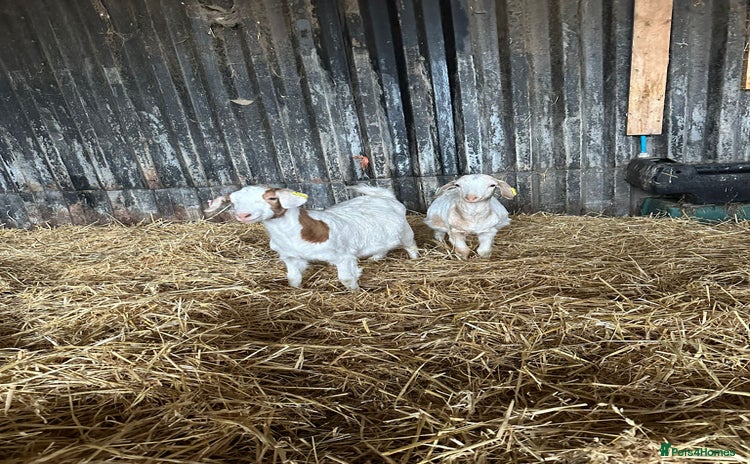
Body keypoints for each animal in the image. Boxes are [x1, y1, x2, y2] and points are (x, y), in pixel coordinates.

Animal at [205, 185, 419, 290]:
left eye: (272, 198)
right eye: (232, 201)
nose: (243, 215)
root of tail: (385, 197)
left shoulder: (342, 256)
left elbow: (346, 278)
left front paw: (355, 292)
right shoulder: (290, 257)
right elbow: (293, 277)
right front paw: (296, 290)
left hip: (406, 233)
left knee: (410, 245)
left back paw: (414, 259)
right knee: (382, 246)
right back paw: (375, 257)